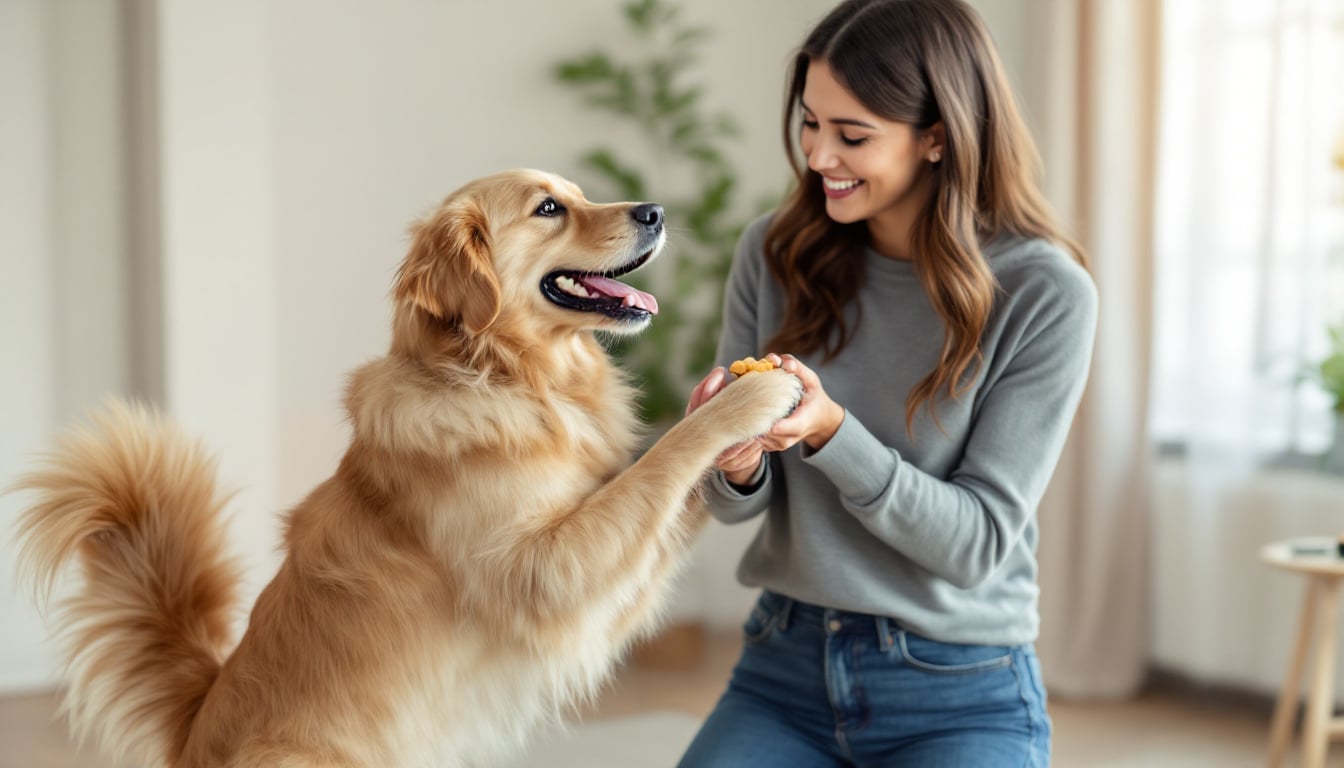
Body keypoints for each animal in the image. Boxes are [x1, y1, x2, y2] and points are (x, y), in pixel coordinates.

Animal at [13, 169, 795, 768]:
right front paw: (751, 397)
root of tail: (194, 732)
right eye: (548, 208)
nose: (655, 210)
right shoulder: (546, 575)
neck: (511, 379)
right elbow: (660, 462)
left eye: (578, 193)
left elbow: (668, 492)